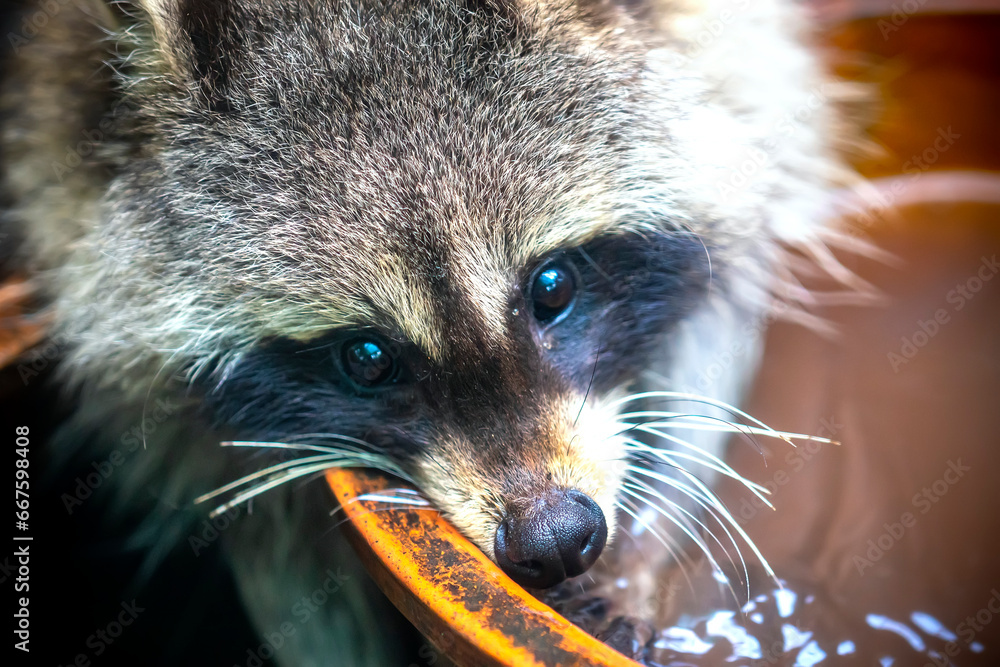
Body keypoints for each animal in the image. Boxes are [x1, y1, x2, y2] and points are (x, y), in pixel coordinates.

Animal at [2, 0, 859, 663]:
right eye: (368, 356)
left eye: (552, 286)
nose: (555, 538)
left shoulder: (730, 81)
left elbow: (716, 325)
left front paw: (646, 542)